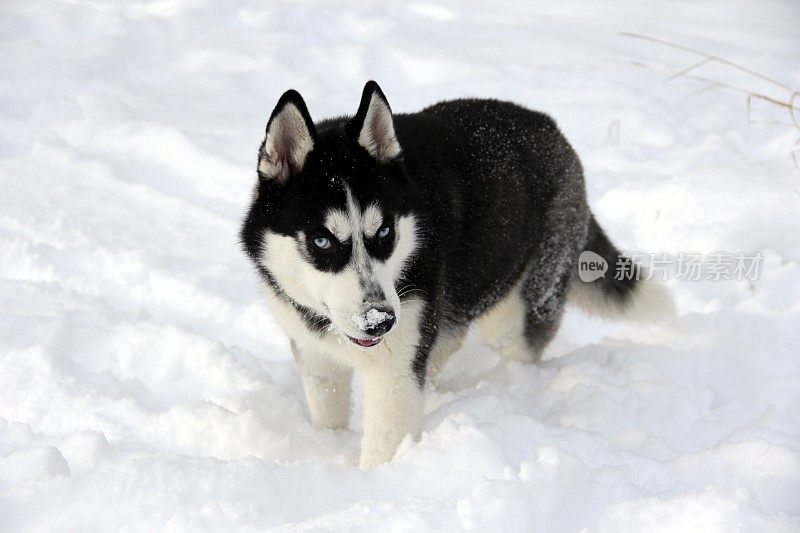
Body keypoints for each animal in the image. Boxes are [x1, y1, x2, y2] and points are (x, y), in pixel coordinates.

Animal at [239, 81, 676, 468]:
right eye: (322, 241)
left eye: (385, 232)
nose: (381, 322)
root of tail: (553, 130)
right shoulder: (315, 353)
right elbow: (328, 411)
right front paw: (328, 449)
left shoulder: (395, 369)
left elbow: (384, 447)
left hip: (520, 301)